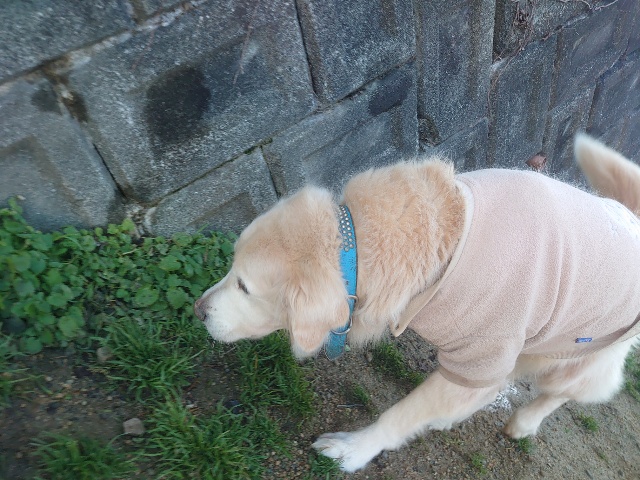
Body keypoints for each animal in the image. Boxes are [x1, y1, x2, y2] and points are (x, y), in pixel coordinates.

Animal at [194, 134, 640, 472]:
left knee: (567, 389)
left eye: (245, 287)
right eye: (230, 267)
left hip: (580, 351)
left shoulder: (482, 353)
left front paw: (354, 449)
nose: (198, 310)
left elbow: (401, 414)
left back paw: (525, 421)